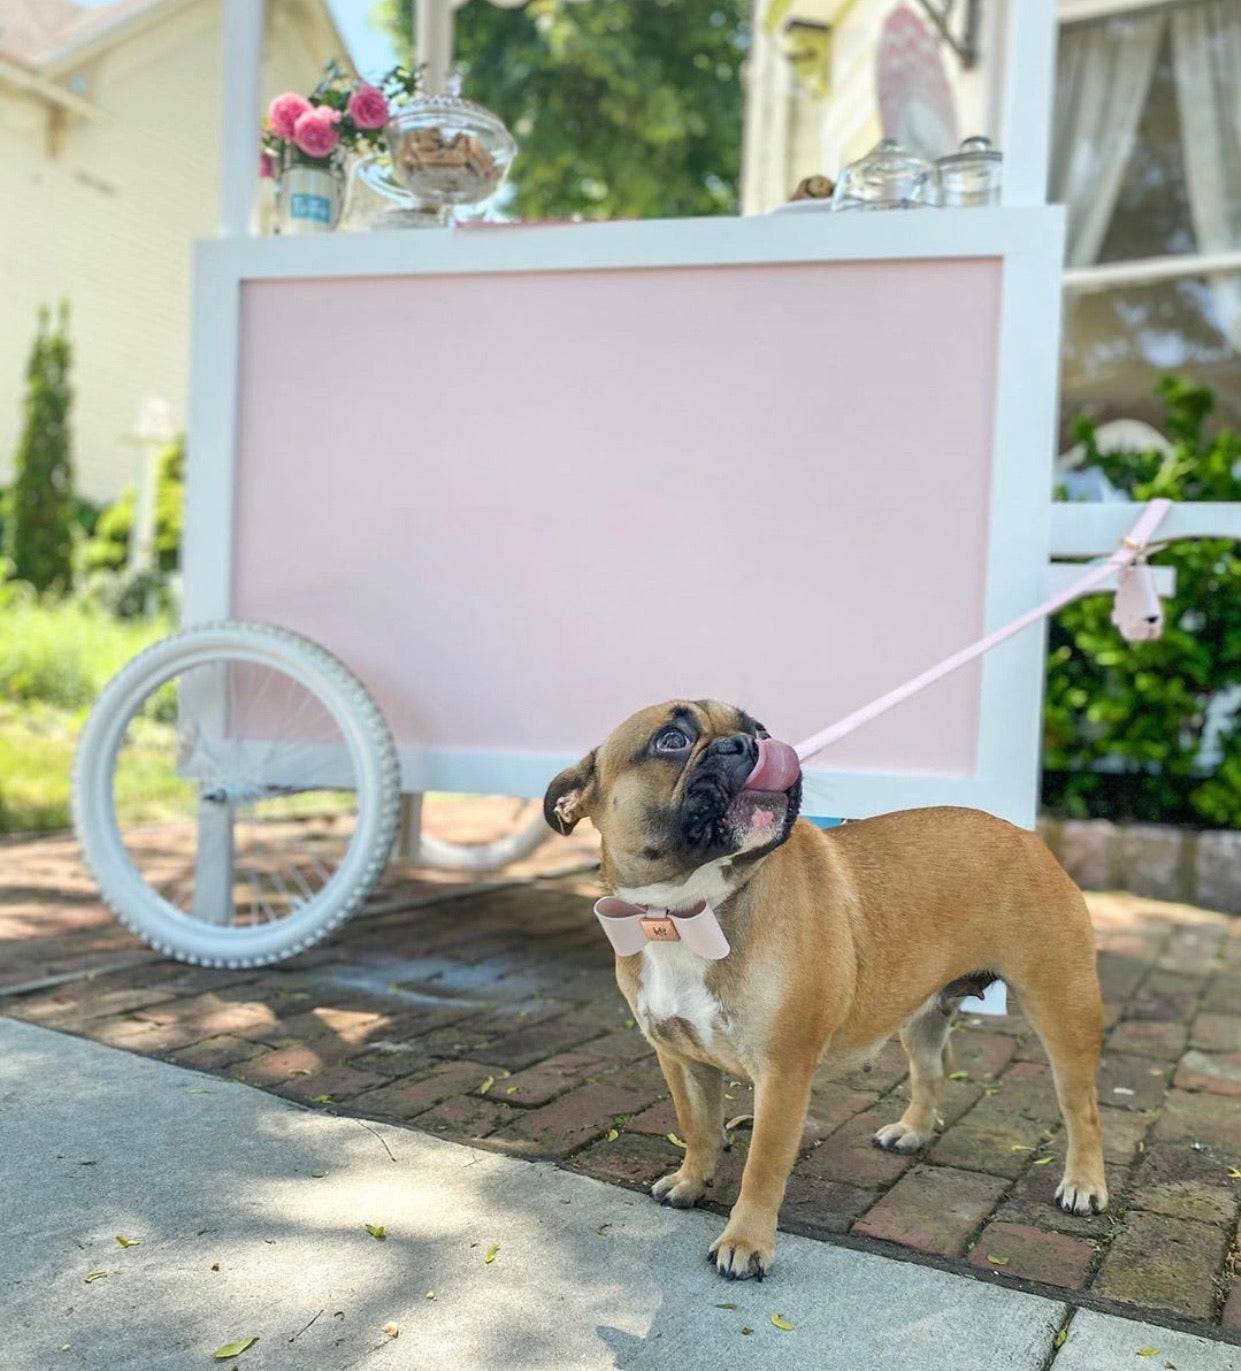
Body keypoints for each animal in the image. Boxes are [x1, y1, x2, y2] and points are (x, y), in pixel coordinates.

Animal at [548, 701, 1107, 1277]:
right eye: (672, 740)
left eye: (760, 729)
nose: (749, 744)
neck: (684, 914)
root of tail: (1027, 839)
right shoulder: (679, 1058)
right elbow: (698, 1126)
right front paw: (690, 1181)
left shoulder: (783, 1074)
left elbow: (762, 1165)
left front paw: (746, 1241)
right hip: (922, 1018)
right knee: (930, 1072)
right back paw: (912, 1130)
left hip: (1061, 1007)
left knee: (1081, 1107)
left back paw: (1084, 1183)